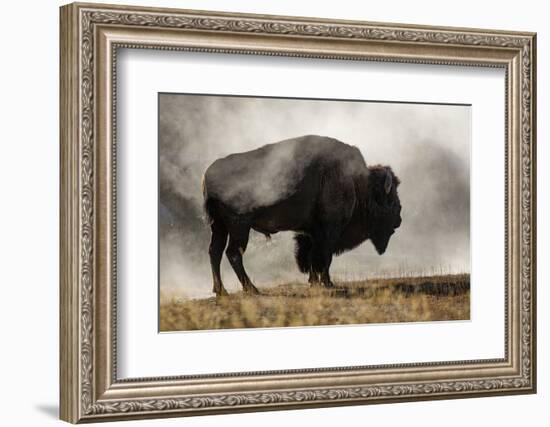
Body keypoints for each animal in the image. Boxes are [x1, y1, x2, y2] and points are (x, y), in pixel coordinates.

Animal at [203, 135, 402, 296]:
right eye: (390, 197)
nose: (399, 219)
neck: (356, 182)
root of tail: (208, 174)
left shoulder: (312, 232)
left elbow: (313, 256)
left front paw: (314, 282)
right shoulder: (330, 229)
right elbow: (324, 256)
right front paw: (328, 283)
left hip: (219, 226)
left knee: (215, 251)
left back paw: (221, 291)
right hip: (239, 226)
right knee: (233, 253)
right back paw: (251, 289)